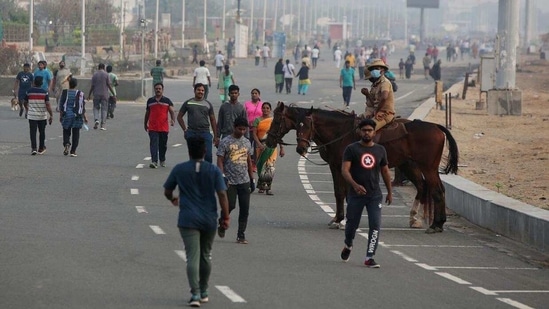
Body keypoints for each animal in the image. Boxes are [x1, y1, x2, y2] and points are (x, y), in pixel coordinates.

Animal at [266, 102, 458, 232]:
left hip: (428, 167)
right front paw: (338, 219)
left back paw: (436, 224)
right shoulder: (335, 166)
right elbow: (339, 192)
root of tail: (436, 127)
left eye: (276, 120)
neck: (339, 132)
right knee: (423, 186)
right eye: (297, 125)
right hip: (409, 165)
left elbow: (344, 192)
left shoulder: (343, 167)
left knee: (437, 190)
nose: (269, 140)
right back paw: (416, 219)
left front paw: (342, 220)